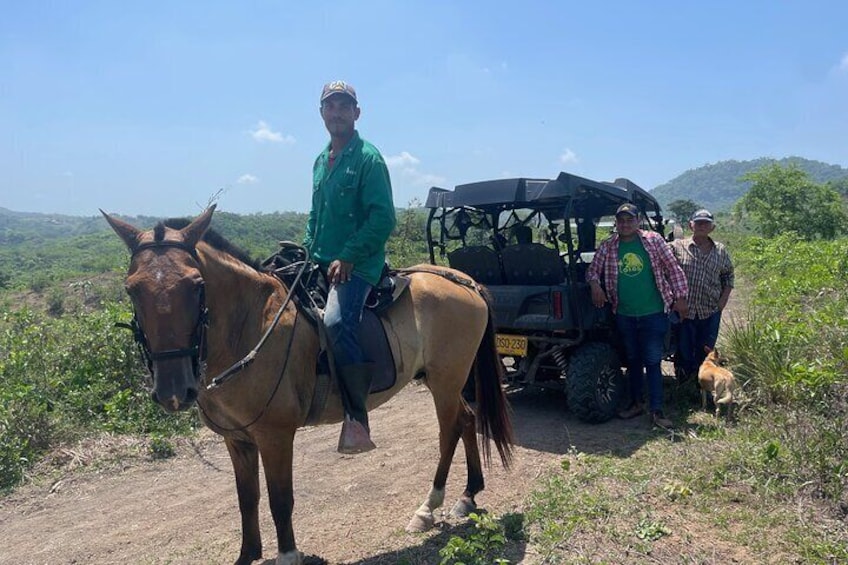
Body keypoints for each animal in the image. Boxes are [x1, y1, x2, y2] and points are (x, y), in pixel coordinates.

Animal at [99, 206, 510, 564]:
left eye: (196, 285)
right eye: (132, 289)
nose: (173, 390)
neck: (250, 326)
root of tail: (463, 281)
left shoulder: (275, 436)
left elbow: (280, 500)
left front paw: (287, 555)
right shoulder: (237, 440)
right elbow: (247, 499)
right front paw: (248, 554)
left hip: (445, 380)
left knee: (450, 430)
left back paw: (428, 507)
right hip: (448, 381)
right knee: (468, 420)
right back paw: (468, 495)